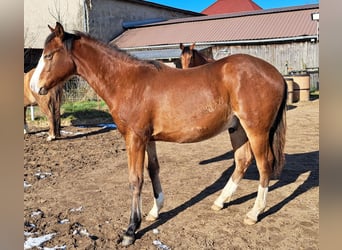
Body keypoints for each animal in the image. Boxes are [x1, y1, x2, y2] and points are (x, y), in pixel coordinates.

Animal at [30, 23, 286, 246]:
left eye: (49, 55)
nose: (34, 87)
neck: (127, 82)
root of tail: (276, 74)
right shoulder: (148, 139)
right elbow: (153, 171)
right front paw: (154, 211)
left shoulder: (135, 138)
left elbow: (135, 180)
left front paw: (131, 230)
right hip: (237, 128)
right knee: (242, 161)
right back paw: (220, 201)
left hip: (256, 130)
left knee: (264, 165)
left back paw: (254, 213)